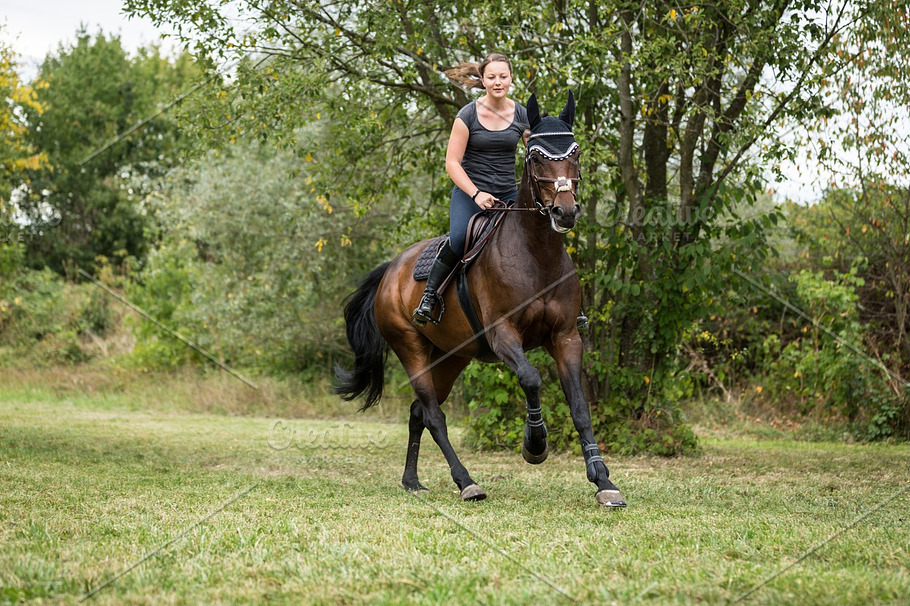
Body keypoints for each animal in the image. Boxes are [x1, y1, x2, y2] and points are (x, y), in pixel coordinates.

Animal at [336, 94, 628, 508]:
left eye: (575, 152)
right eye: (535, 156)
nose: (565, 211)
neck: (537, 253)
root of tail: (391, 270)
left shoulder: (566, 337)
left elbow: (580, 407)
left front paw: (603, 481)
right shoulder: (502, 334)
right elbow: (531, 378)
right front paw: (535, 445)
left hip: (450, 356)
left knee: (418, 412)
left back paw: (412, 480)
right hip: (410, 348)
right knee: (433, 415)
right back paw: (466, 482)